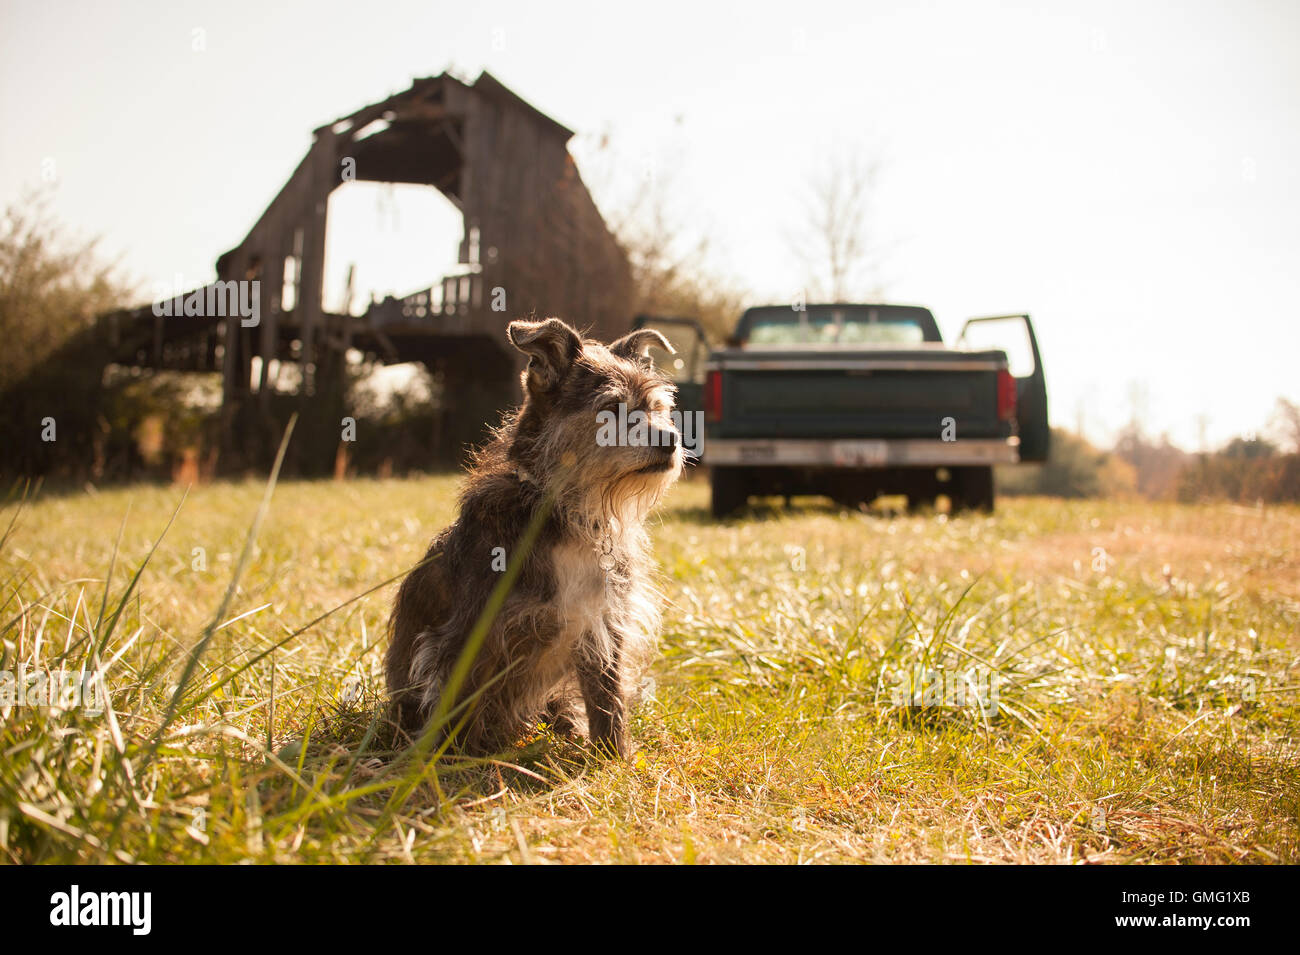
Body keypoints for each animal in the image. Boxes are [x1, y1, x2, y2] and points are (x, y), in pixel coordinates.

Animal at [384, 317, 686, 758]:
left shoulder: (603, 623)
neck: (565, 513)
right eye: (611, 410)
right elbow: (457, 703)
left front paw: (612, 759)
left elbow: (608, 699)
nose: (671, 440)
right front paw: (446, 763)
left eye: (658, 409)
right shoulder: (467, 634)